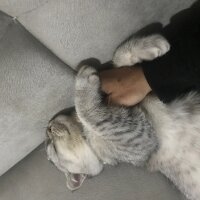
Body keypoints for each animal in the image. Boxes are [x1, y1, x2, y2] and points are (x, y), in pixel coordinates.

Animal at [46, 33, 200, 199]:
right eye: (53, 149)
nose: (48, 128)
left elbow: (118, 59)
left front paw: (150, 44)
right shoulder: (141, 139)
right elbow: (91, 114)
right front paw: (83, 80)